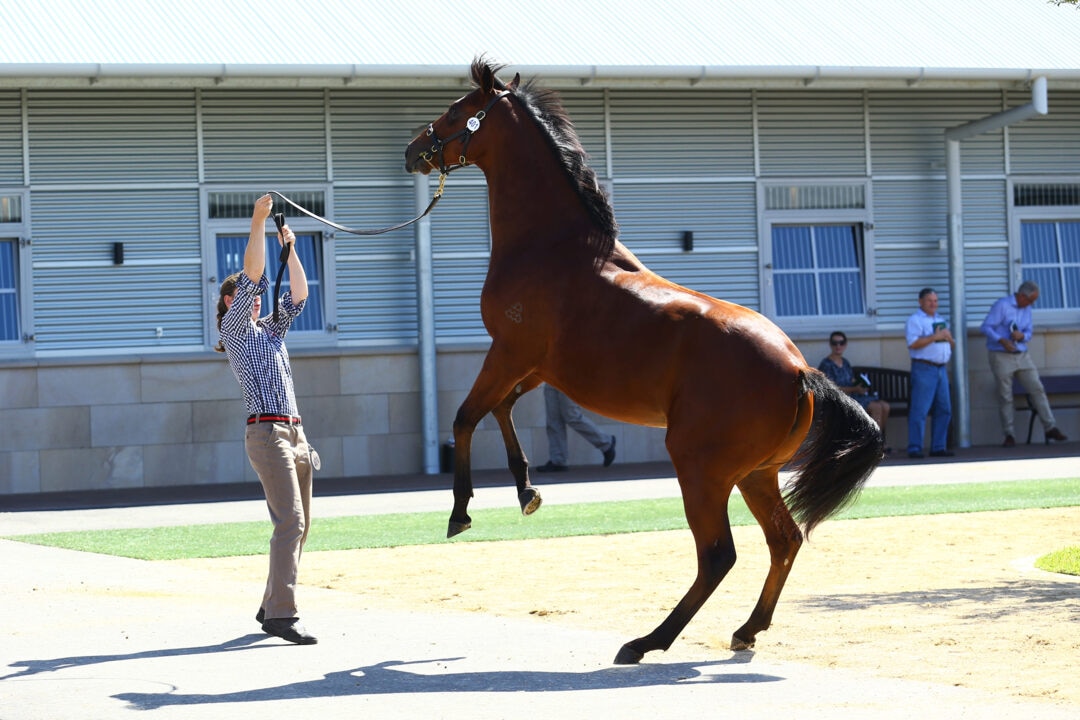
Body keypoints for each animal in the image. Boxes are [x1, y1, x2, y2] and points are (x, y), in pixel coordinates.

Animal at [401, 57, 881, 664]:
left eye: (456, 110)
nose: (413, 150)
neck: (554, 248)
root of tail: (800, 370)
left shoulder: (510, 353)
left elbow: (466, 416)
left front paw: (461, 511)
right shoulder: (537, 369)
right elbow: (502, 412)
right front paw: (527, 490)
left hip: (700, 468)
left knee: (718, 555)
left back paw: (648, 641)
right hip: (757, 474)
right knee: (784, 539)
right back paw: (746, 630)